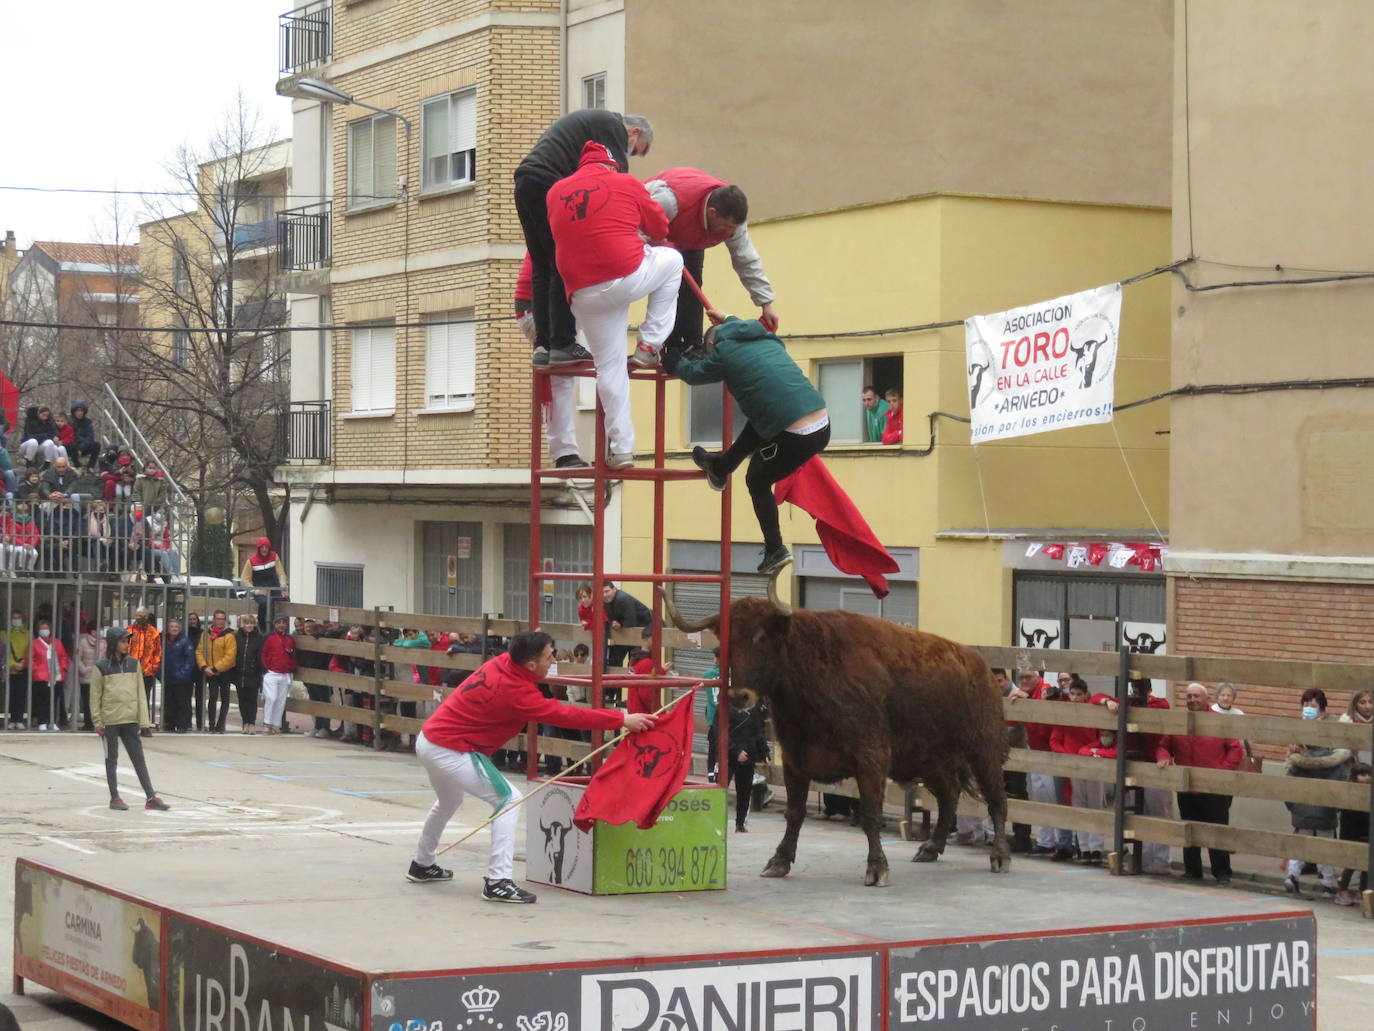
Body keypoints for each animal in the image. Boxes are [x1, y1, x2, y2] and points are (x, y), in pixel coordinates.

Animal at [665, 574, 1011, 890]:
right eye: (722, 645)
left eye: (761, 638)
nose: (740, 697)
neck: (811, 670)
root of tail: (979, 664)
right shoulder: (795, 760)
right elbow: (795, 812)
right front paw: (779, 861)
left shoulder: (871, 758)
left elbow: (870, 813)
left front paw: (877, 868)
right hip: (931, 759)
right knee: (949, 795)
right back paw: (930, 848)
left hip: (984, 750)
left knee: (996, 799)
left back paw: (1000, 856)